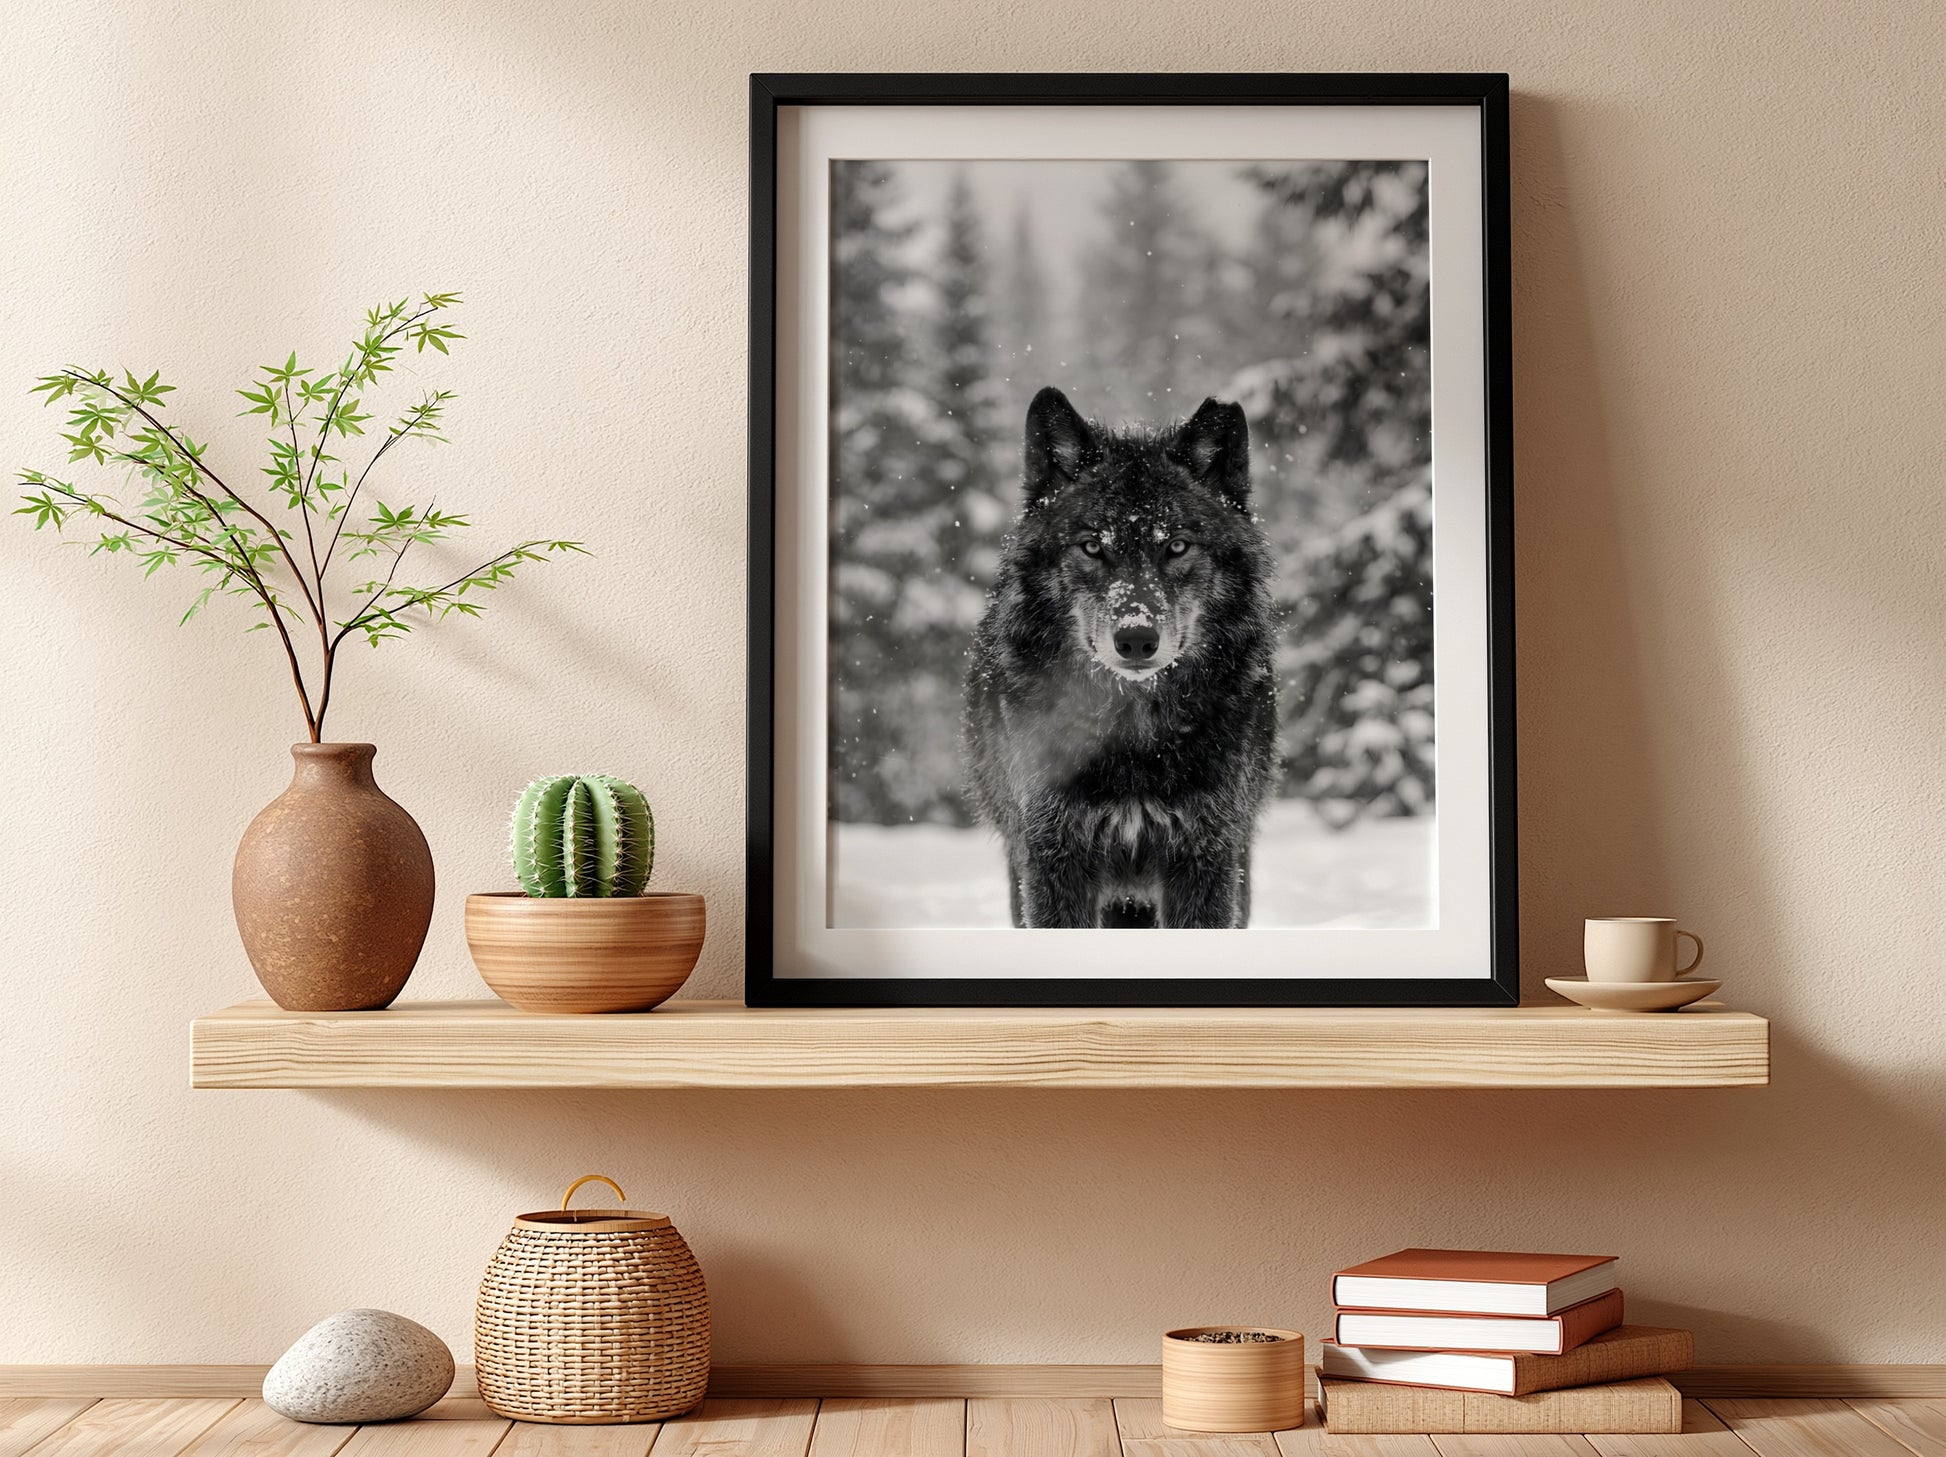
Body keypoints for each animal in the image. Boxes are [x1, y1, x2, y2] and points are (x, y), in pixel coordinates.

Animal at [963, 386, 1278, 929]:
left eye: (1177, 545)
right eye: (1092, 546)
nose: (1135, 639)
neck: (1132, 734)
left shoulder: (1208, 855)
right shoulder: (1051, 855)